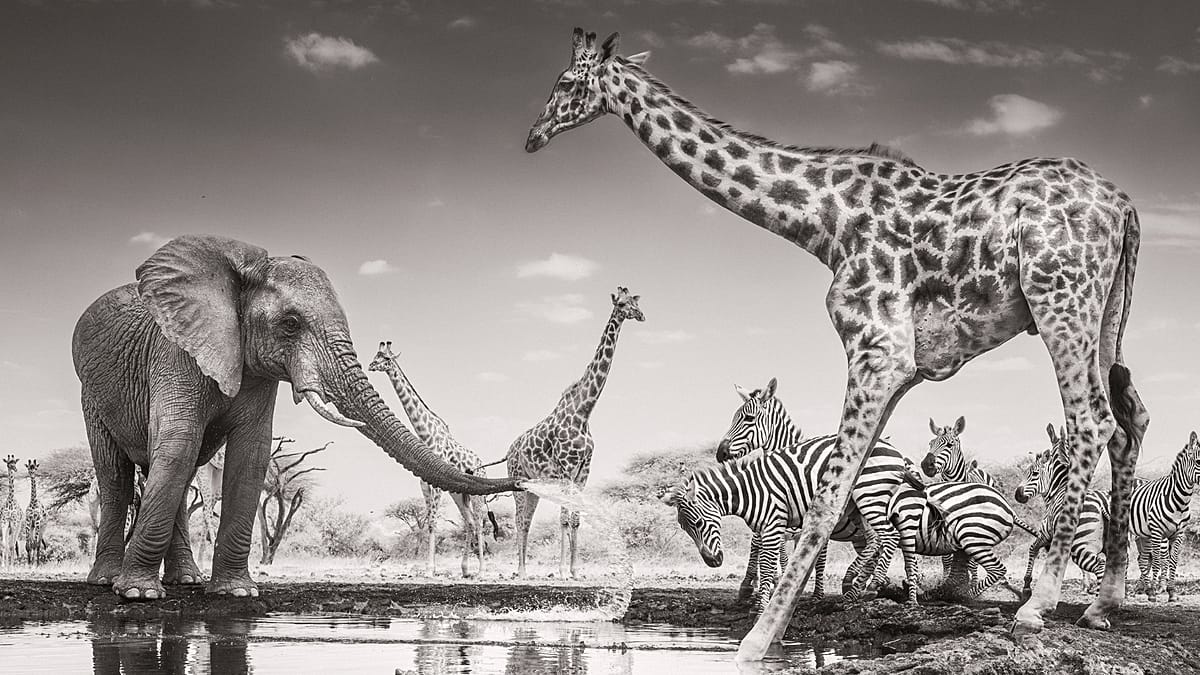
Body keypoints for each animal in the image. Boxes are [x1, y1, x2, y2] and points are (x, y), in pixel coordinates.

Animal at [73, 234, 519, 599]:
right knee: (119, 474)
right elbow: (179, 447)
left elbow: (251, 456)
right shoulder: (174, 352)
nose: (519, 478)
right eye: (290, 324)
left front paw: (236, 593)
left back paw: (186, 581)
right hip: (90, 393)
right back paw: (108, 581)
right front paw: (137, 595)